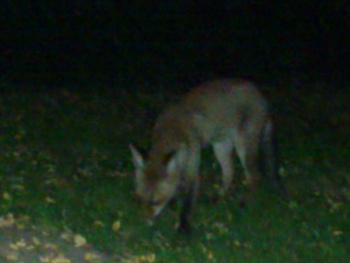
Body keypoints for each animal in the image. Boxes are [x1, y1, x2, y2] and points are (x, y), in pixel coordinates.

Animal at [129, 78, 284, 233]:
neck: (171, 131)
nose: (145, 223)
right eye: (140, 199)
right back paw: (218, 198)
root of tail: (261, 96)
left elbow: (187, 203)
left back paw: (248, 205)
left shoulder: (192, 169)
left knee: (254, 178)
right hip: (220, 146)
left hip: (243, 148)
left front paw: (183, 228)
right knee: (229, 173)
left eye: (155, 202)